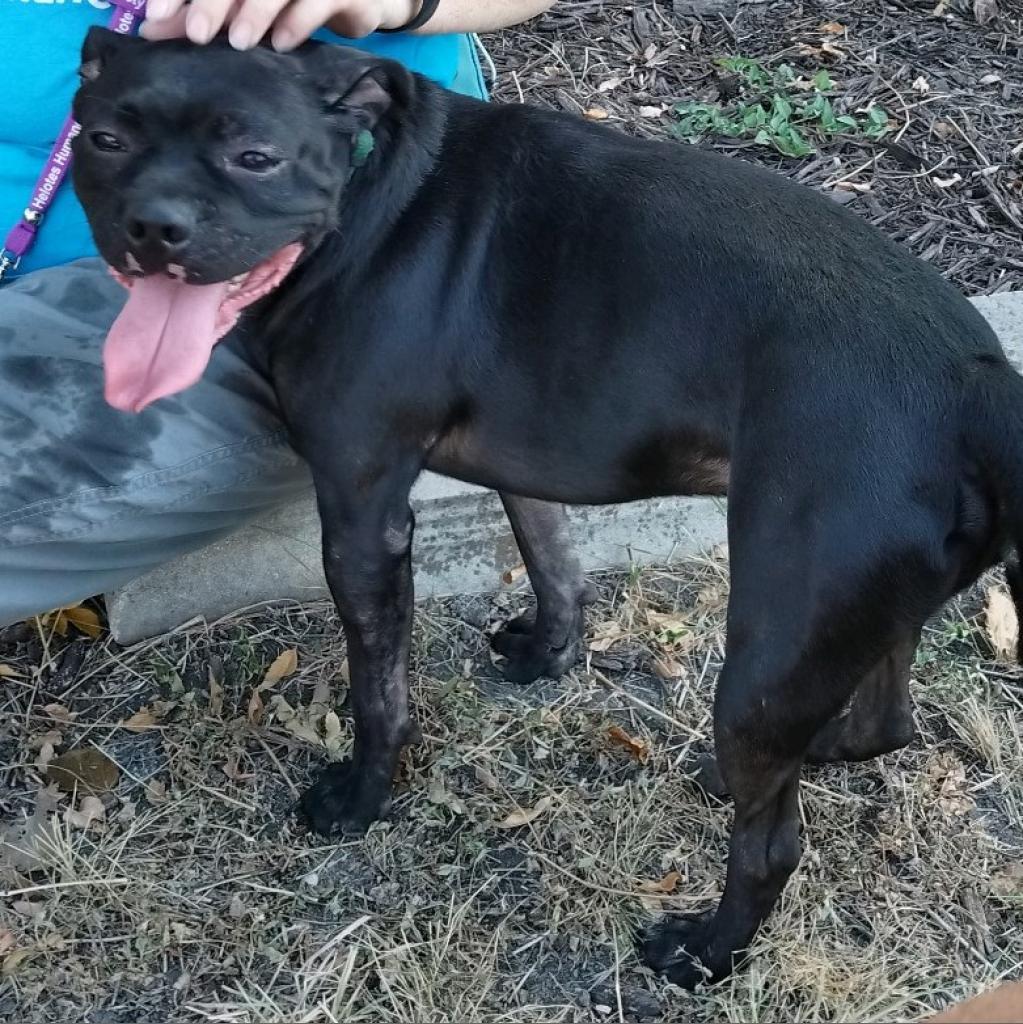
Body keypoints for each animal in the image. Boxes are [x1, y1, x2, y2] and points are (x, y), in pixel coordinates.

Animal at [74, 32, 1023, 987]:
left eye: (256, 157)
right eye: (105, 140)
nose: (153, 227)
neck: (370, 193)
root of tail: (977, 386)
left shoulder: (360, 514)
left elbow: (379, 688)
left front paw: (363, 795)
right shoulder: (528, 453)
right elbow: (550, 556)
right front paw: (548, 650)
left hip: (773, 643)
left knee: (772, 846)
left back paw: (704, 950)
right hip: (852, 617)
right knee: (880, 724)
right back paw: (798, 760)